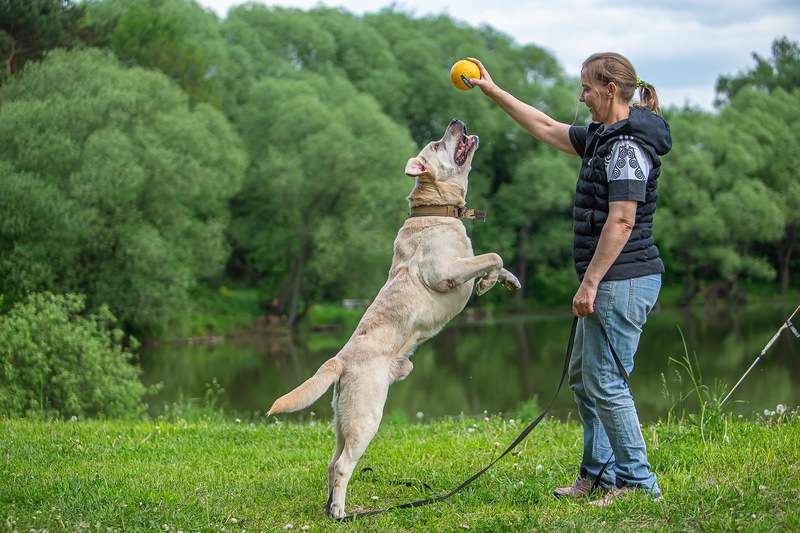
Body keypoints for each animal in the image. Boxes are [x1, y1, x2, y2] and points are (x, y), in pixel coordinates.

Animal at [266, 118, 520, 516]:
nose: (457, 122)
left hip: (344, 420)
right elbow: (493, 255)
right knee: (343, 465)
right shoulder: (444, 271)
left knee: (331, 462)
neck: (436, 211)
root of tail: (338, 360)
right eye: (438, 143)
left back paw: (331, 507)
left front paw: (504, 281)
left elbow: (496, 260)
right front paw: (489, 280)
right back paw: (340, 512)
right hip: (366, 416)